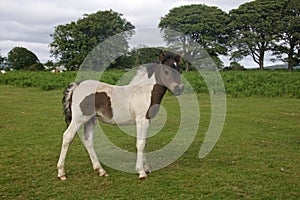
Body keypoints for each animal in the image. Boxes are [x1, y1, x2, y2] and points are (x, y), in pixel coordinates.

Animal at [56, 51, 183, 180]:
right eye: (166, 71)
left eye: (180, 70)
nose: (179, 89)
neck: (144, 92)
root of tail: (77, 86)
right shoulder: (142, 121)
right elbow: (140, 144)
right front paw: (141, 172)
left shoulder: (147, 121)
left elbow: (145, 143)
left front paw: (146, 168)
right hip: (79, 119)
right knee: (67, 136)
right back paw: (61, 173)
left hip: (90, 120)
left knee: (88, 141)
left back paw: (101, 170)